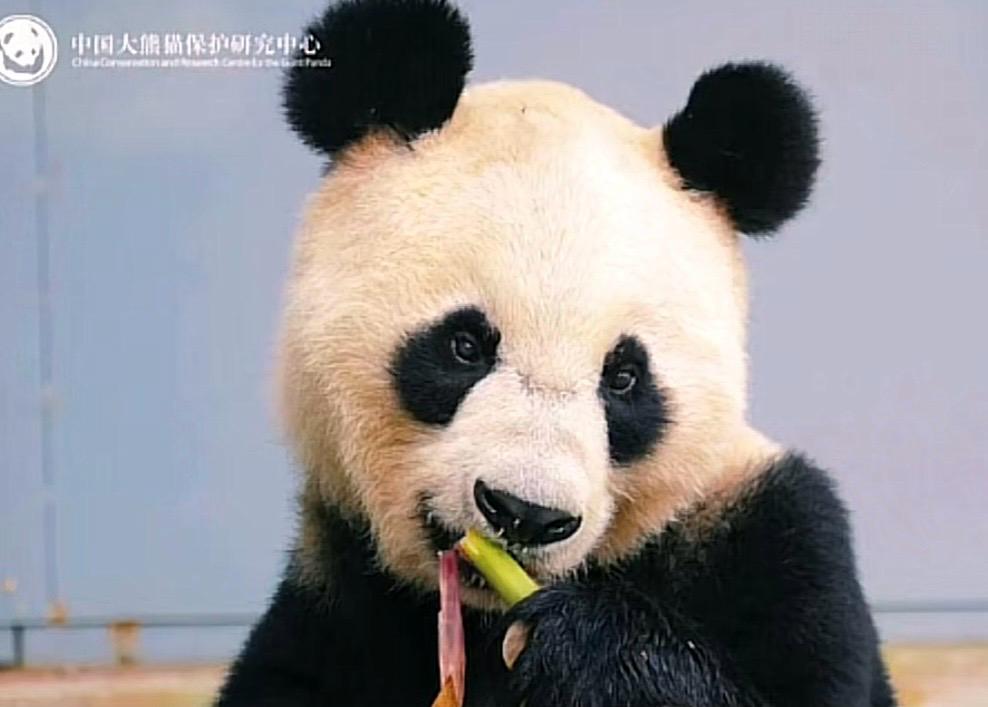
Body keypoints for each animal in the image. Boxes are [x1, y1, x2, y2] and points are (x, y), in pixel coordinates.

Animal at [217, 1, 896, 705]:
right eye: (464, 345)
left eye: (624, 378)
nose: (526, 514)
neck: (488, 618)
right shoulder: (337, 590)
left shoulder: (777, 539)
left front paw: (591, 646)